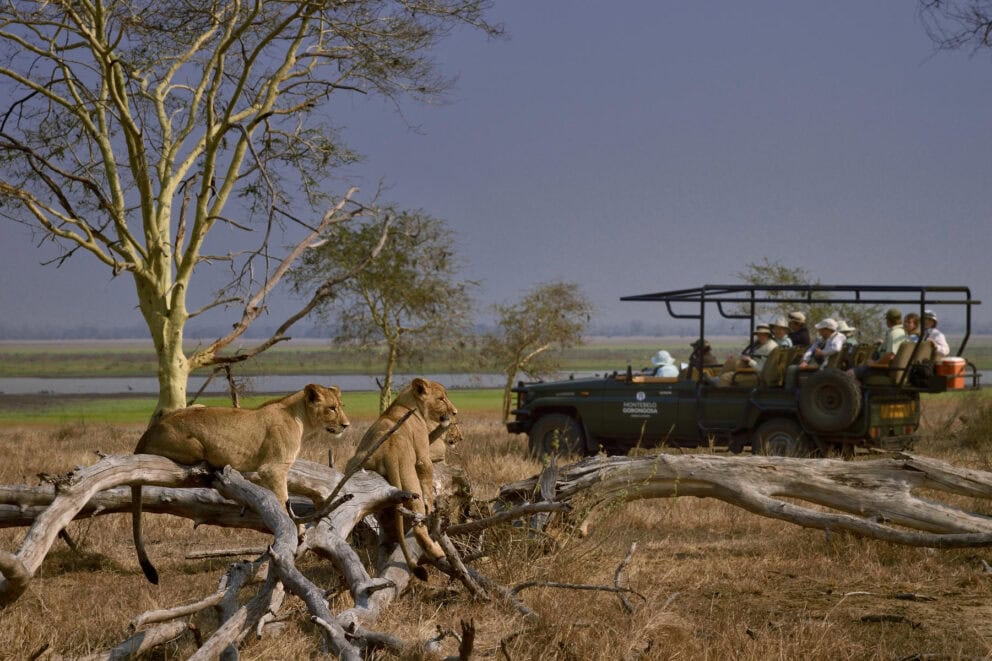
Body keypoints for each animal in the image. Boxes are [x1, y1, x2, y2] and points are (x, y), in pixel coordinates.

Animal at [132, 384, 350, 584]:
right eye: (332, 408)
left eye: (341, 406)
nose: (346, 425)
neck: (300, 418)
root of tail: (148, 432)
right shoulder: (273, 469)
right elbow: (283, 501)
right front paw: (299, 530)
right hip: (195, 446)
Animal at [346, 378, 457, 580]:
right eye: (441, 398)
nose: (455, 412)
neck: (407, 404)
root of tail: (389, 452)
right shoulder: (422, 454)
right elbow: (427, 475)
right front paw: (431, 504)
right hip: (411, 481)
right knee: (418, 525)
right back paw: (437, 551)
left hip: (356, 463)